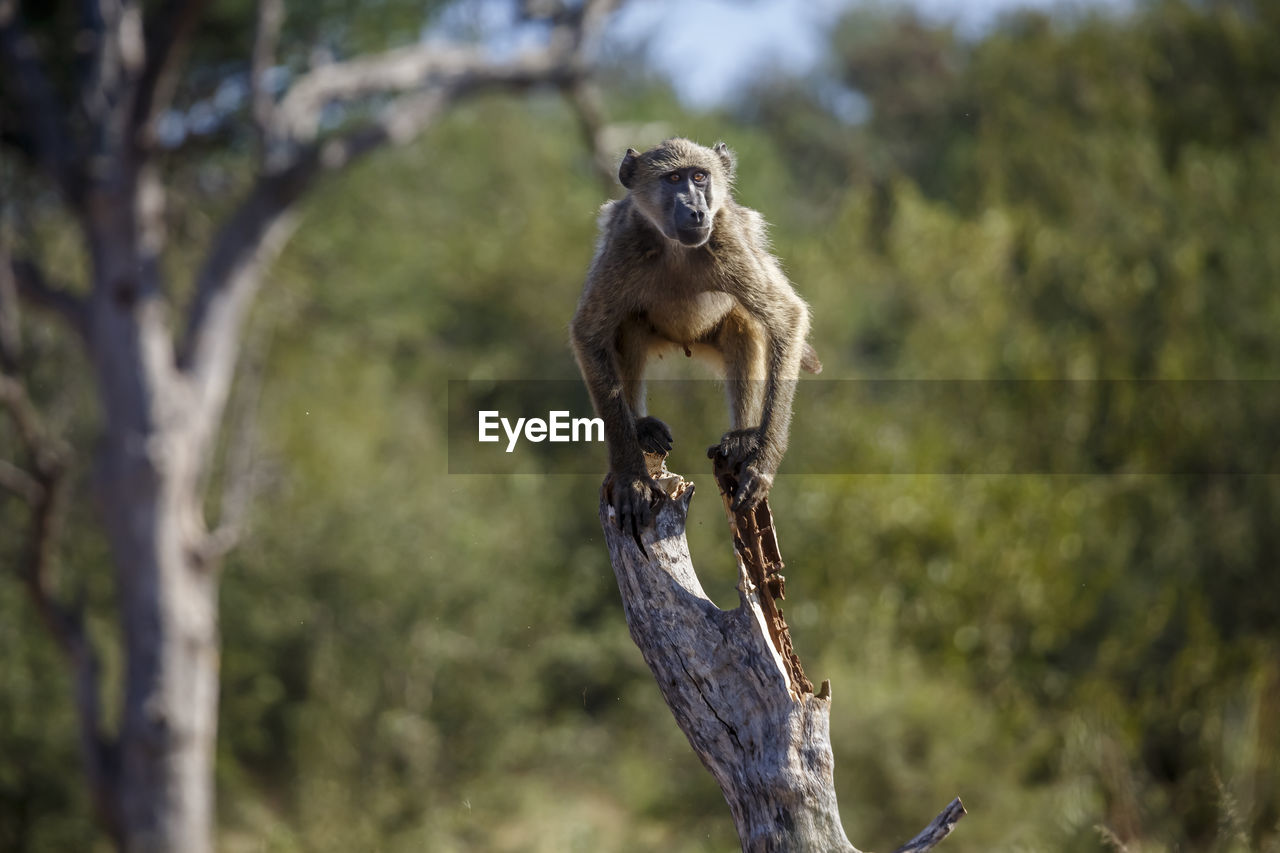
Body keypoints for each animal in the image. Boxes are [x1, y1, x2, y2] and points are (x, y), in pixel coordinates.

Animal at [570, 136, 819, 540]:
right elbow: (589, 334)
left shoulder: (729, 242)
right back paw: (642, 427)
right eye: (673, 178)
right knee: (629, 326)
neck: (677, 251)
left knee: (744, 326)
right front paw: (631, 479)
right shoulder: (625, 242)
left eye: (699, 177)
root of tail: (683, 341)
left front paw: (763, 465)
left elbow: (787, 317)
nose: (696, 212)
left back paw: (742, 436)